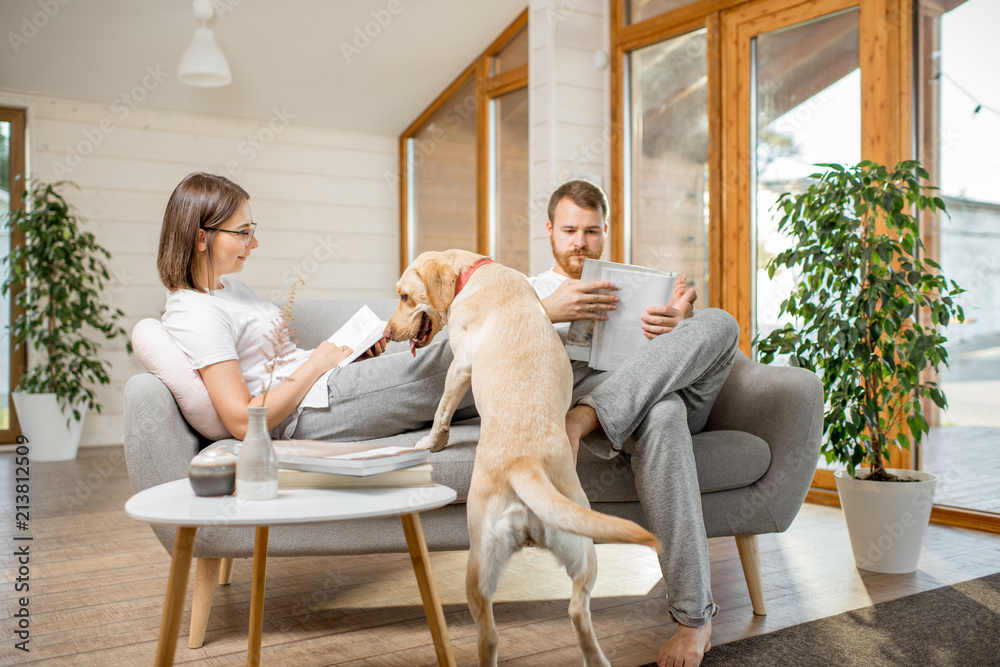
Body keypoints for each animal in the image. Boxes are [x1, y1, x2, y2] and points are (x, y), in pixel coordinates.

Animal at [386, 249, 660, 667]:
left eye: (403, 296)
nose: (386, 335)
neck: (473, 273)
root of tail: (523, 464)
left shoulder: (460, 366)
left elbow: (441, 411)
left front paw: (431, 442)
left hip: (498, 558)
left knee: (517, 628)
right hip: (551, 552)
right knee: (558, 615)